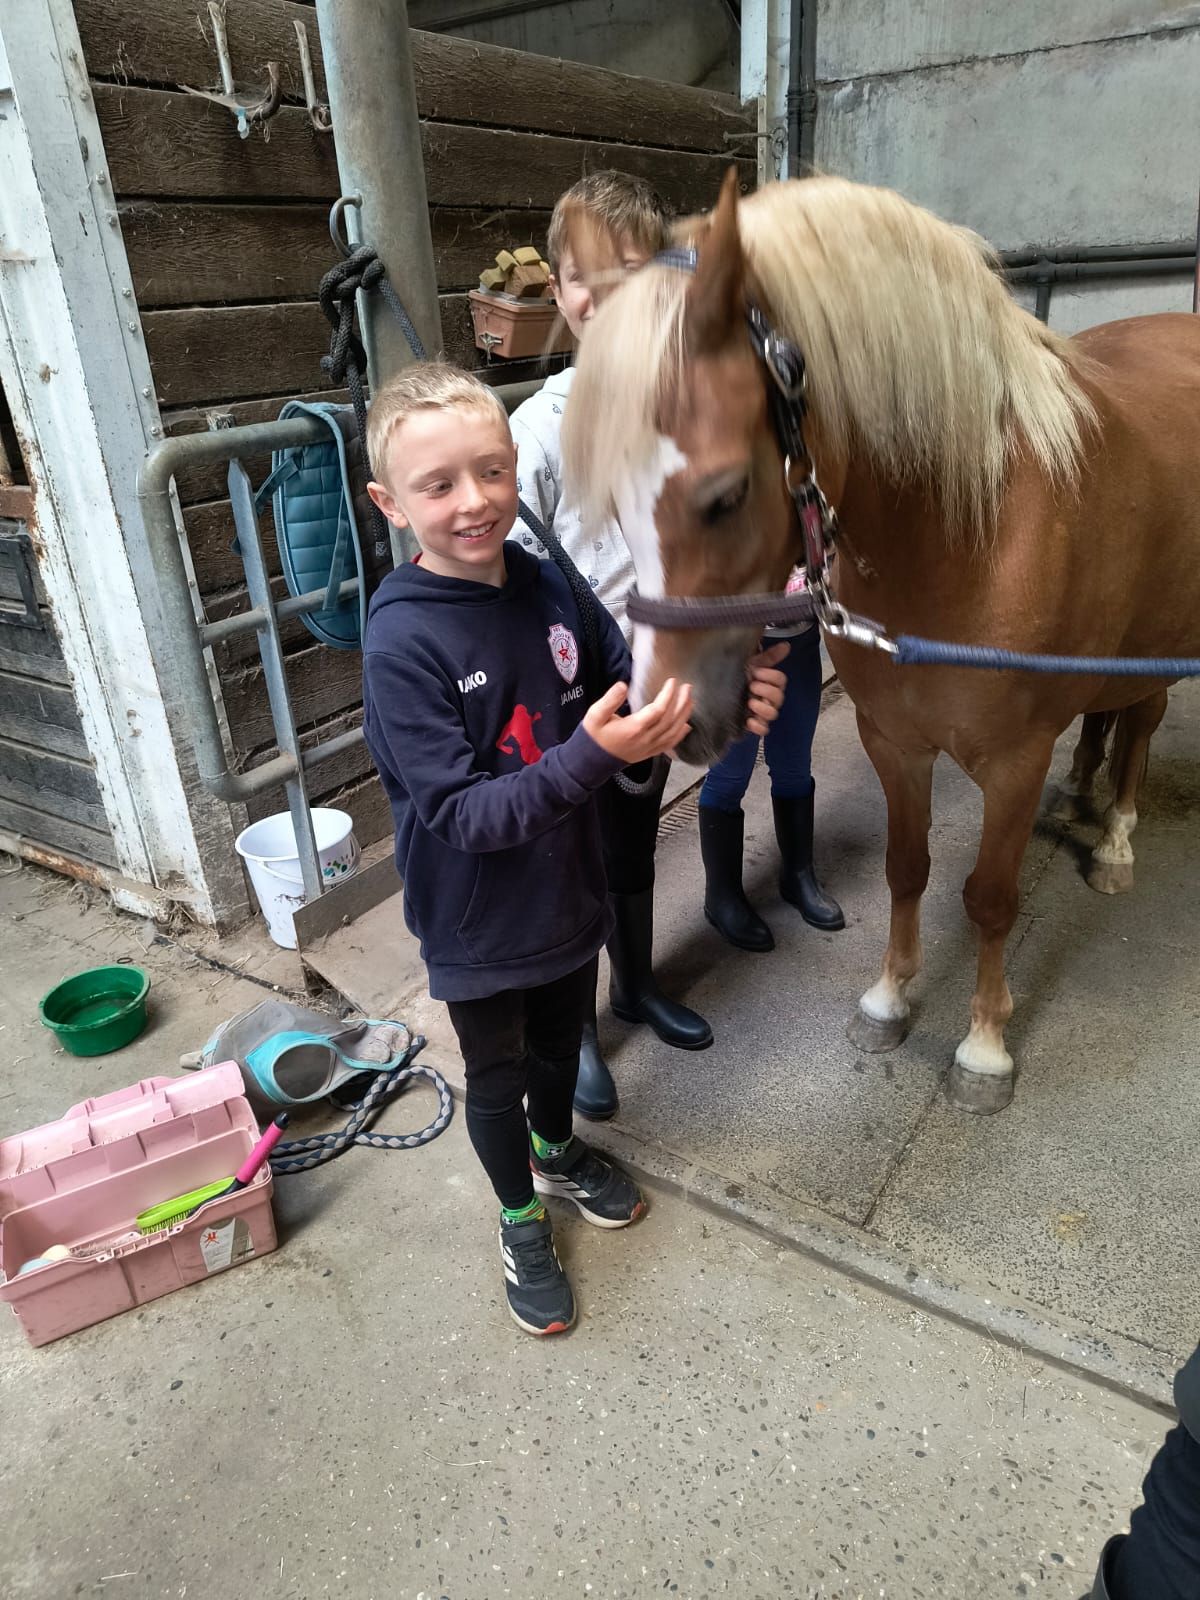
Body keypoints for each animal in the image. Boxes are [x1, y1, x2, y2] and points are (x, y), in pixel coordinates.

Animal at [561, 169, 1200, 1114]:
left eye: (725, 494)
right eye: (611, 501)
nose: (669, 720)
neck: (973, 532)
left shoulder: (1013, 762)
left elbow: (991, 898)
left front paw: (984, 1049)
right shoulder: (894, 741)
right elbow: (908, 867)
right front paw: (890, 1000)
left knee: (1143, 724)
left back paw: (1115, 839)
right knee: (1102, 719)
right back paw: (1080, 793)